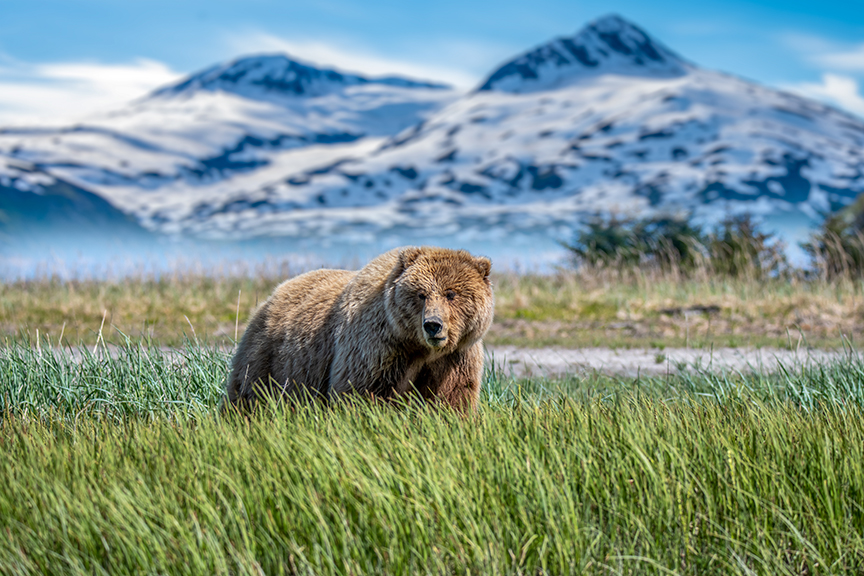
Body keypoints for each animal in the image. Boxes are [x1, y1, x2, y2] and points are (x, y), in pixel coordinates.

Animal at [224, 246, 494, 413]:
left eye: (451, 294)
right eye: (421, 294)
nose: (433, 325)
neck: (418, 348)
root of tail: (274, 293)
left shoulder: (455, 358)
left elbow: (451, 398)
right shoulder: (377, 347)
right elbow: (360, 392)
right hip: (272, 358)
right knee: (248, 393)